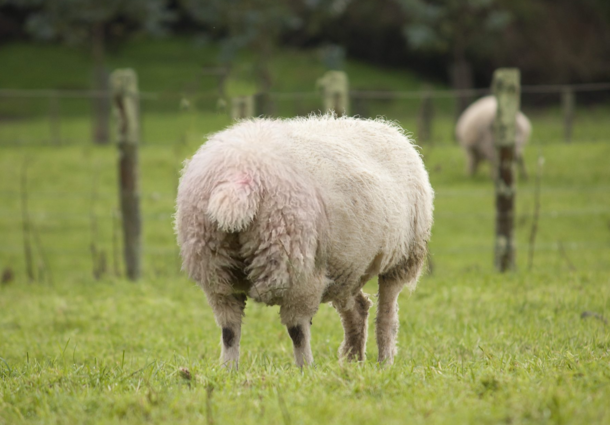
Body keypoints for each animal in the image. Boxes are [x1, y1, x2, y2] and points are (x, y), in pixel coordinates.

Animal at [173, 114, 434, 366]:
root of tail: (389, 129)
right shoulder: (221, 283)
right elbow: (229, 331)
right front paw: (229, 370)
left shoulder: (299, 280)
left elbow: (297, 331)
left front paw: (305, 369)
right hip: (345, 266)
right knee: (358, 309)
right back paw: (353, 361)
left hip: (402, 257)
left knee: (387, 316)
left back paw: (384, 361)